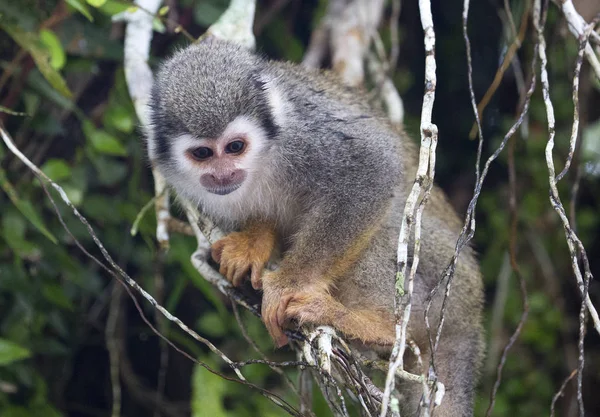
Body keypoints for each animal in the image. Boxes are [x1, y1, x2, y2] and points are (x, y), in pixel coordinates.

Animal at [148, 39, 486, 416]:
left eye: (235, 147)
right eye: (203, 154)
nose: (223, 175)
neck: (264, 157)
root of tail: (471, 318)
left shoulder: (305, 134)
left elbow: (374, 164)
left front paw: (290, 283)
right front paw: (254, 241)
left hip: (446, 282)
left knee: (391, 222)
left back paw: (380, 326)